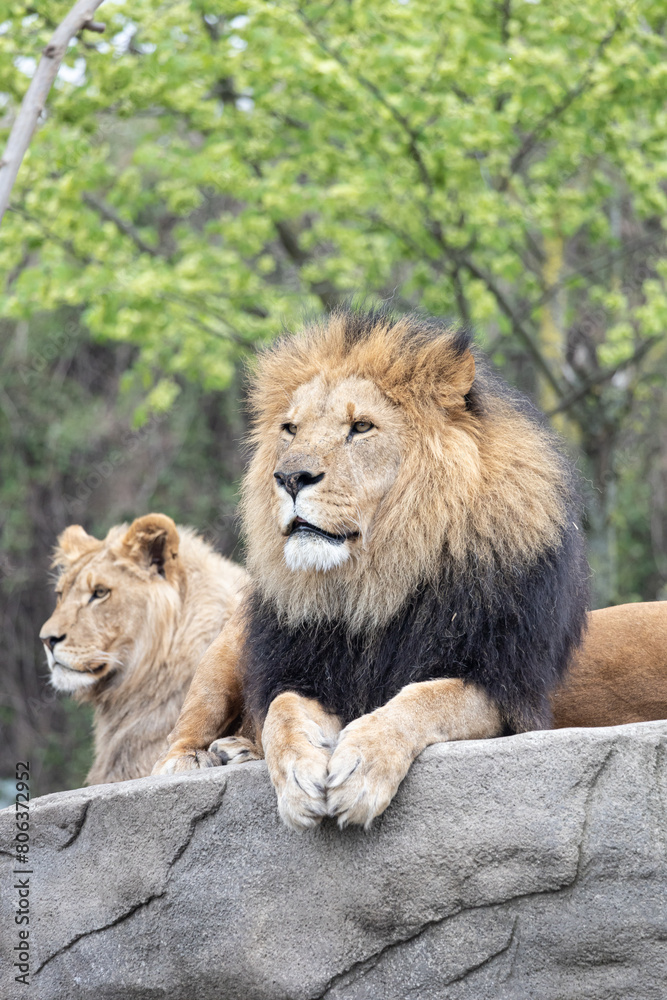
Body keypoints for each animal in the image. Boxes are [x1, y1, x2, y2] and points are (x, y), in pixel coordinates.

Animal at [153, 310, 589, 831]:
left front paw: (361, 767)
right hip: (224, 652)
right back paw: (194, 759)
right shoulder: (307, 671)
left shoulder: (502, 687)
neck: (374, 582)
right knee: (187, 727)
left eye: (361, 427)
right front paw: (297, 776)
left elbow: (421, 700)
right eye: (290, 429)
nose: (290, 477)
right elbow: (281, 710)